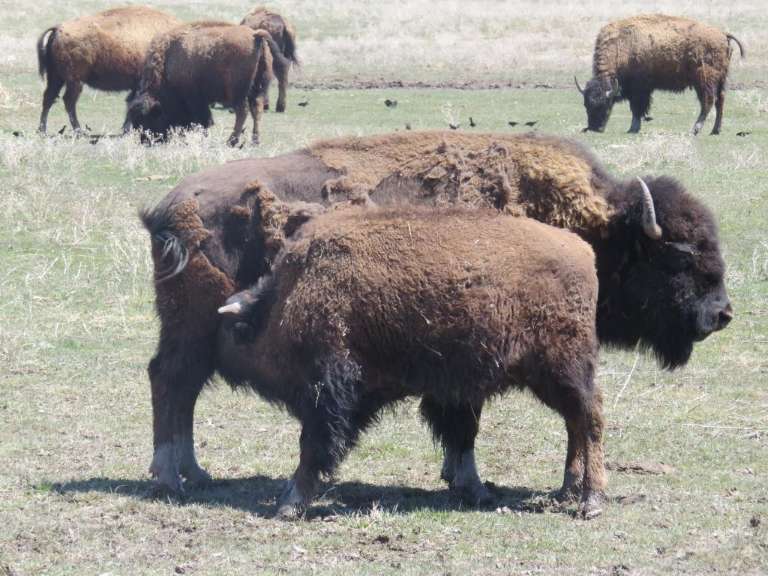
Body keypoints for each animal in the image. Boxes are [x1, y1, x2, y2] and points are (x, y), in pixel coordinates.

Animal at [36, 6, 181, 134]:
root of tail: (58, 29)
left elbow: (130, 102)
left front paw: (126, 128)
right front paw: (127, 129)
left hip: (56, 77)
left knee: (49, 97)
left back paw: (42, 130)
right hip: (74, 81)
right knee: (68, 101)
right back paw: (79, 131)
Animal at [140, 131, 731, 511]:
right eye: (680, 257)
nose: (722, 314)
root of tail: (166, 207)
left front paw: (553, 485)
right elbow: (464, 423)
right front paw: (472, 481)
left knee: (179, 387)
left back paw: (192, 472)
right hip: (192, 330)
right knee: (172, 382)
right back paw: (173, 475)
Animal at [575, 14, 745, 134]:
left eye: (606, 105)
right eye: (586, 105)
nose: (594, 128)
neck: (622, 46)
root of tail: (723, 34)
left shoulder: (639, 89)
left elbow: (637, 108)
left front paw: (633, 128)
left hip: (704, 80)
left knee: (708, 102)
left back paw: (695, 129)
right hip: (721, 80)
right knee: (720, 101)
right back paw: (715, 130)